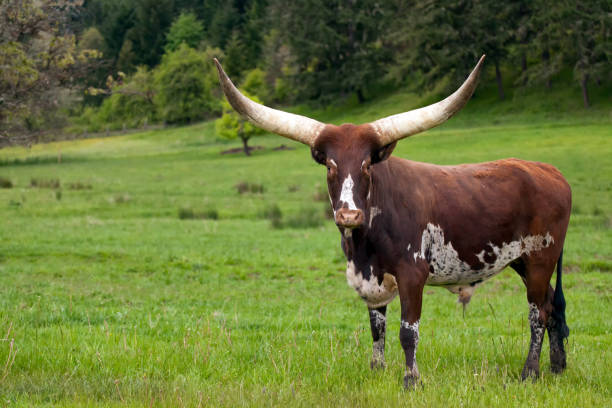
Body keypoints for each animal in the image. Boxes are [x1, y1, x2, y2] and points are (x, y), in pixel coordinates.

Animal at [213, 55, 572, 388]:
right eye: (330, 165)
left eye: (366, 165)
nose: (349, 214)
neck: (364, 245)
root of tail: (552, 172)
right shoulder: (370, 279)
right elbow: (377, 328)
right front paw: (377, 370)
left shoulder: (412, 274)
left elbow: (407, 331)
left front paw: (411, 379)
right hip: (522, 261)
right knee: (552, 306)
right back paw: (557, 367)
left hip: (541, 258)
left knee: (538, 313)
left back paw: (530, 372)